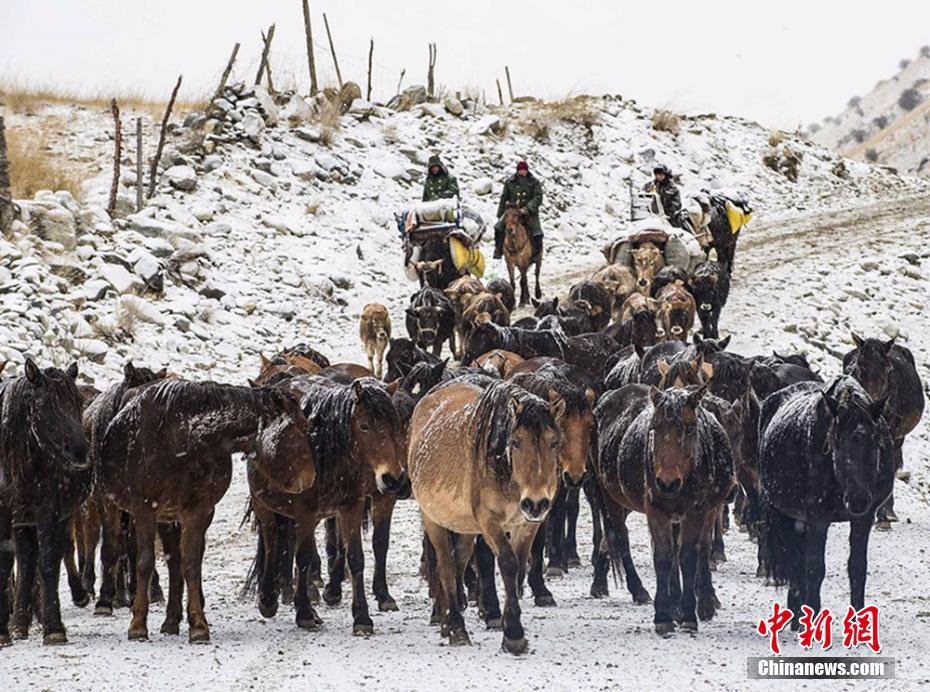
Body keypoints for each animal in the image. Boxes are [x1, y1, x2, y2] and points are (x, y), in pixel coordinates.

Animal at [99, 382, 316, 640]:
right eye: (301, 426)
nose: (311, 477)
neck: (182, 438)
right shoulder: (144, 511)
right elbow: (145, 563)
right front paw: (138, 624)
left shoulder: (197, 512)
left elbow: (191, 564)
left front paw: (198, 624)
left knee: (178, 561)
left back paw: (173, 619)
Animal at [246, 376, 406, 636]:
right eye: (364, 426)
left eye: (396, 425)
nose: (393, 479)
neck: (322, 452)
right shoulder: (305, 512)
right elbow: (303, 559)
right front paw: (303, 613)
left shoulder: (350, 507)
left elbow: (355, 558)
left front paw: (362, 617)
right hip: (263, 506)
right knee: (271, 541)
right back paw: (269, 599)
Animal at [410, 382, 560, 652]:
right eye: (516, 442)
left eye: (554, 442)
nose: (535, 503)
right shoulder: (489, 522)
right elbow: (508, 563)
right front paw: (513, 636)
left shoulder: (527, 525)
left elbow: (519, 568)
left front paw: (509, 625)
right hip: (433, 520)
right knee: (446, 568)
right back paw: (457, 629)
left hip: (465, 528)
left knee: (459, 561)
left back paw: (447, 623)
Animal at [756, 378, 896, 628]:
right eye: (837, 444)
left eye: (875, 442)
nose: (858, 500)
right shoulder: (818, 518)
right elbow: (814, 569)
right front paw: (811, 618)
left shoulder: (863, 519)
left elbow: (857, 568)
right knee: (796, 561)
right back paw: (797, 616)